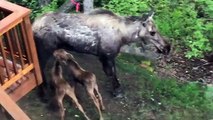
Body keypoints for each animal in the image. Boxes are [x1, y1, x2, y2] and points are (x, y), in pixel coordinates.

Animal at [32, 8, 171, 98]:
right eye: (152, 32)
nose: (167, 47)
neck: (124, 36)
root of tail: (33, 26)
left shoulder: (111, 56)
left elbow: (114, 73)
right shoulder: (105, 56)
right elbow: (111, 74)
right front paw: (117, 91)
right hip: (45, 49)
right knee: (39, 66)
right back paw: (43, 92)